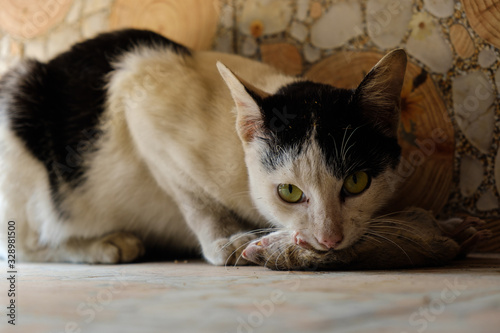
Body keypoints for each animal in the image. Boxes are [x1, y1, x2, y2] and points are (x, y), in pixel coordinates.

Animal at [0, 29, 408, 264]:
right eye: (290, 192)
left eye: (357, 183)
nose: (329, 238)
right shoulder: (140, 101)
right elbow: (194, 199)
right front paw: (224, 239)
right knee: (27, 243)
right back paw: (104, 245)